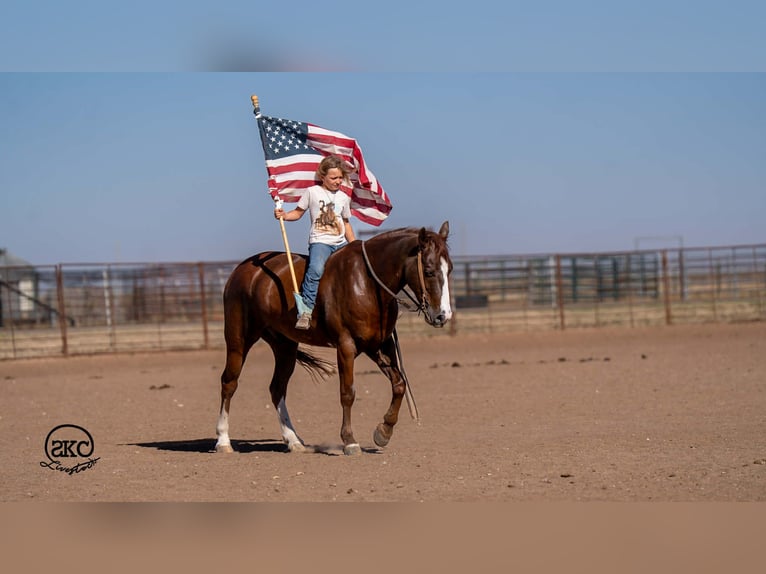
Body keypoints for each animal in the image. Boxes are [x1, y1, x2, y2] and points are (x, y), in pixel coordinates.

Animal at [215, 221, 453, 456]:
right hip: (239, 340)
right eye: (429, 271)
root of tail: (242, 269)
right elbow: (347, 392)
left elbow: (399, 384)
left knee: (277, 388)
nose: (444, 315)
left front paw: (383, 432)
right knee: (229, 382)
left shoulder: (379, 346)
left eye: (449, 269)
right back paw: (223, 440)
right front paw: (350, 441)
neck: (367, 283)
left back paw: (294, 440)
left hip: (284, 346)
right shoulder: (346, 346)